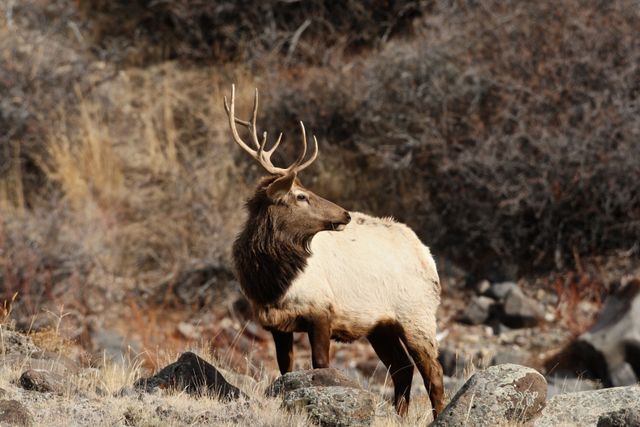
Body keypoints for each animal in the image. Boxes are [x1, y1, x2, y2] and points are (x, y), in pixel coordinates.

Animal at [222, 84, 442, 418]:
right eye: (300, 196)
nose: (345, 214)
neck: (272, 284)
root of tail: (428, 257)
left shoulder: (321, 311)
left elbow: (321, 366)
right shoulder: (275, 323)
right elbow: (285, 369)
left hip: (418, 315)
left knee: (433, 374)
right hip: (381, 325)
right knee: (402, 368)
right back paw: (400, 416)